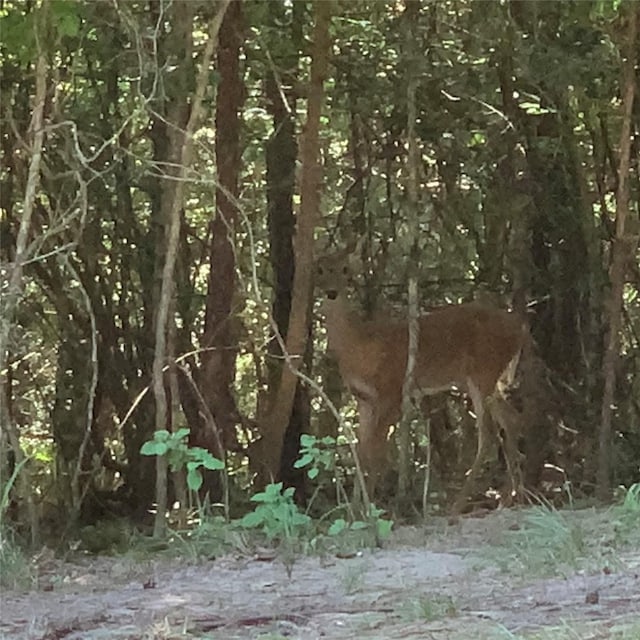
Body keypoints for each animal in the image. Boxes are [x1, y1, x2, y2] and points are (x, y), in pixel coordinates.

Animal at [316, 248, 528, 512]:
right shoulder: (363, 399)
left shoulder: (392, 390)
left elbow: (375, 452)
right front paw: (353, 510)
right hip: (484, 379)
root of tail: (519, 328)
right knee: (511, 419)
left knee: (488, 433)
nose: (331, 292)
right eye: (321, 269)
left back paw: (459, 505)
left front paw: (369, 510)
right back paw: (512, 497)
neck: (359, 346)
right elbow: (361, 450)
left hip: (483, 371)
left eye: (345, 269)